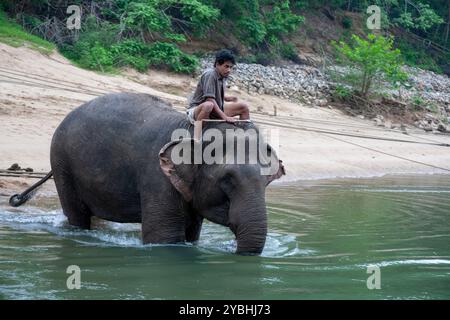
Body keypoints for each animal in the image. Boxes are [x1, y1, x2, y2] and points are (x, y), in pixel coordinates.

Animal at [9, 92, 284, 255]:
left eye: (267, 181)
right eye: (227, 179)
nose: (231, 247)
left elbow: (191, 234)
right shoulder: (157, 177)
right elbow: (165, 238)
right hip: (62, 163)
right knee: (77, 215)